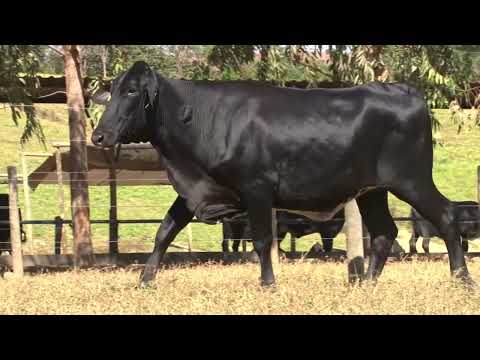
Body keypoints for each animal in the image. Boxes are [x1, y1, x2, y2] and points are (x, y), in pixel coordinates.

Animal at [92, 61, 474, 286]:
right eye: (111, 92)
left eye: (131, 91)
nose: (99, 136)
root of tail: (400, 89)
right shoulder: (198, 191)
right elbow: (164, 231)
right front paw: (145, 281)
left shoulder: (256, 188)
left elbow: (263, 240)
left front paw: (268, 284)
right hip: (371, 190)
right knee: (384, 232)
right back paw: (366, 285)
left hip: (413, 180)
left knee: (445, 215)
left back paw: (462, 279)